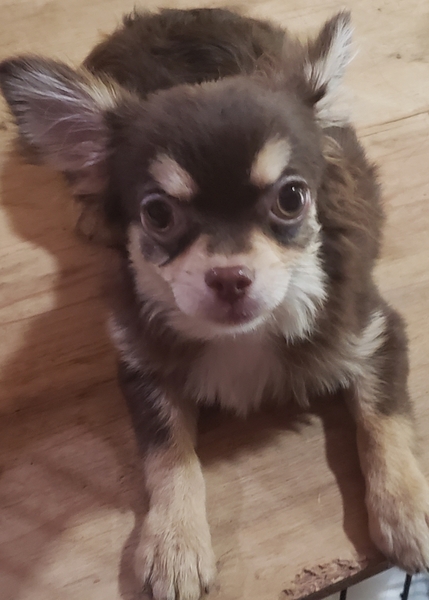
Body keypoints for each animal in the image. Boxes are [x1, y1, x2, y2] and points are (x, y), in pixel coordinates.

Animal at [1, 7, 429, 600]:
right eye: (158, 214)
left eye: (292, 198)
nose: (229, 278)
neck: (243, 337)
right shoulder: (144, 362)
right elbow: (168, 453)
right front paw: (175, 543)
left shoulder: (374, 332)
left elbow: (384, 419)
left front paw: (408, 512)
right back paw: (89, 210)